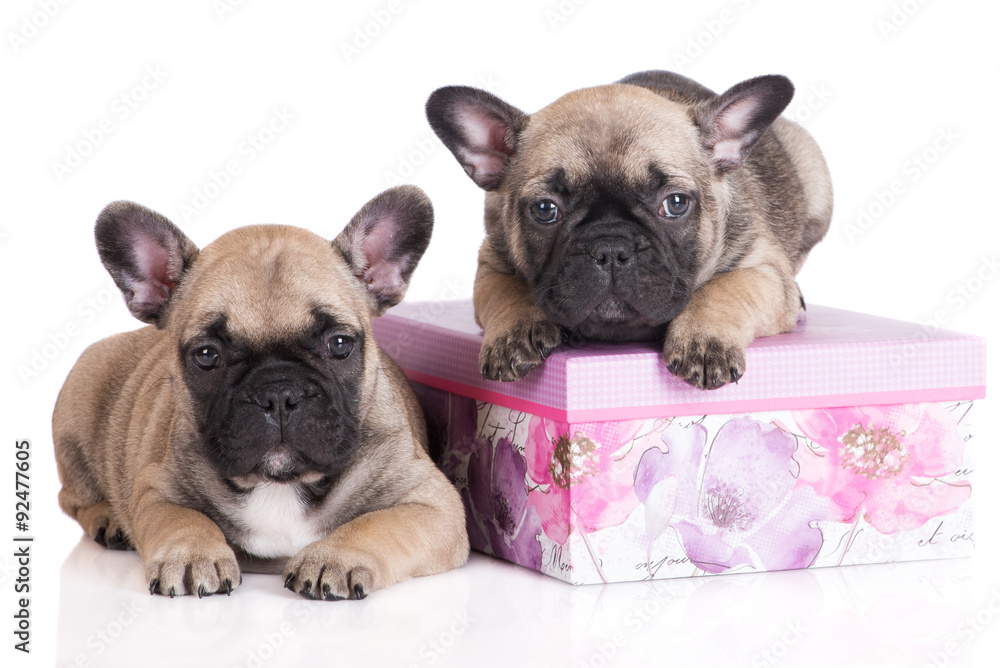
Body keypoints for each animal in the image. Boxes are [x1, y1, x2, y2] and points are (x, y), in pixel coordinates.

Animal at [53, 187, 472, 600]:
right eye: (207, 355)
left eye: (339, 344)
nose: (279, 393)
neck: (281, 483)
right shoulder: (155, 488)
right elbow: (182, 518)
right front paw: (191, 553)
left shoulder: (433, 504)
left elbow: (377, 525)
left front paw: (334, 556)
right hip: (78, 403)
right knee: (71, 499)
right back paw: (109, 519)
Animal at [426, 70, 832, 388]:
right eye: (545, 210)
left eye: (676, 204)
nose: (610, 248)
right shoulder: (491, 263)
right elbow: (506, 292)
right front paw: (516, 332)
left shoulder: (763, 269)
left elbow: (725, 290)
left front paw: (703, 340)